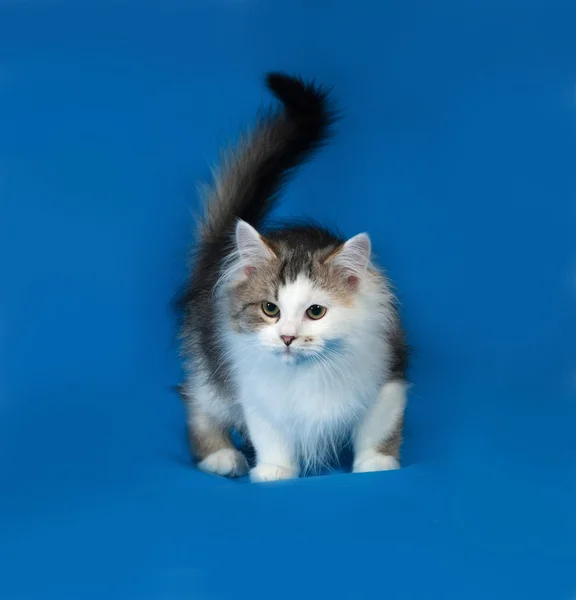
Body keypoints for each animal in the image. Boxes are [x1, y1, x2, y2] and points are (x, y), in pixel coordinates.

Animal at [178, 72, 408, 482]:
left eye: (316, 311)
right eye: (270, 309)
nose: (287, 337)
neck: (307, 374)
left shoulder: (389, 375)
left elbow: (378, 429)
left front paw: (376, 465)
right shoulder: (254, 389)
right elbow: (270, 432)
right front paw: (274, 470)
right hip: (207, 361)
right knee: (197, 402)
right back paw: (221, 457)